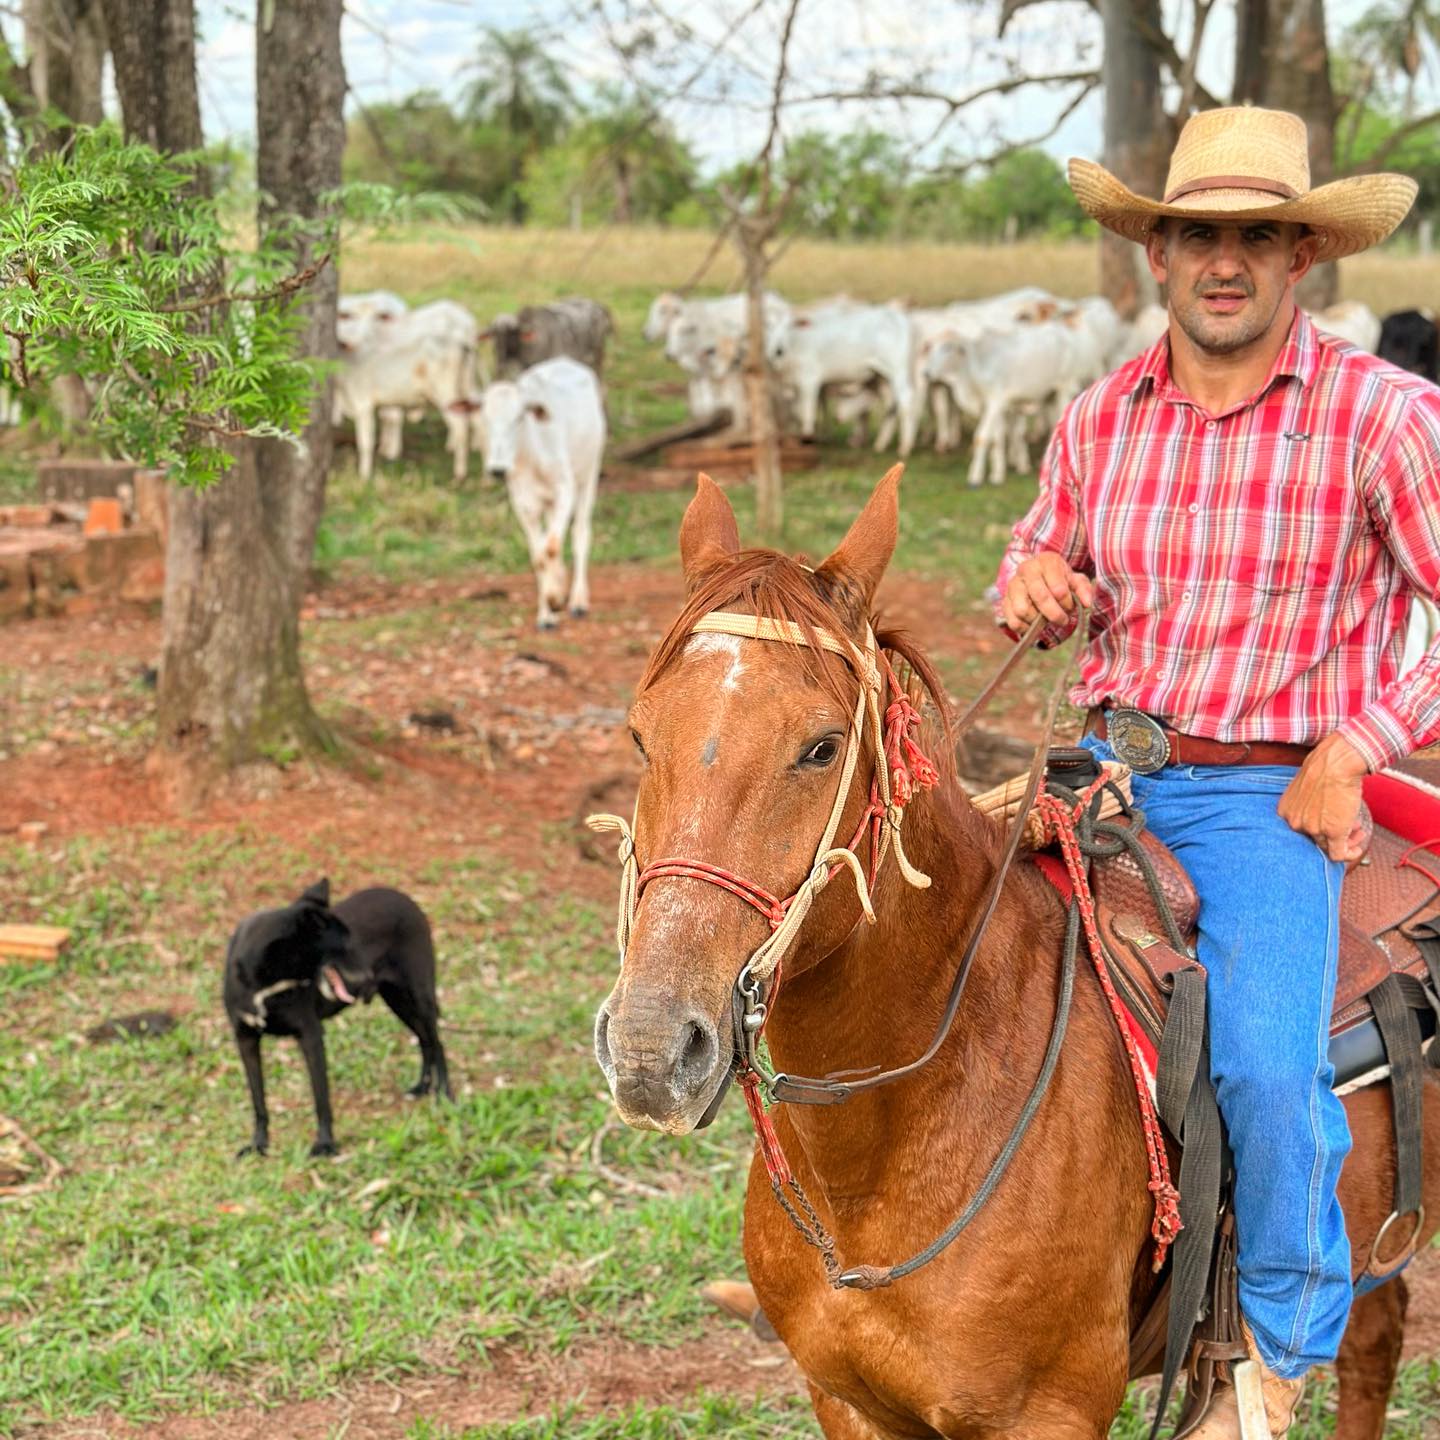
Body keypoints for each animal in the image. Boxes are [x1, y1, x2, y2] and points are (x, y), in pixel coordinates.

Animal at [221, 875, 449, 1157]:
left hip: (419, 996)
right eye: (344, 945)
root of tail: (404, 898)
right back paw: (422, 1087)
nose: (368, 978)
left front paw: (325, 1144)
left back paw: (446, 1096)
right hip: (397, 1001)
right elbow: (258, 1099)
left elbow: (321, 1097)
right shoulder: (246, 1040)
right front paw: (259, 1144)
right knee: (425, 1040)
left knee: (437, 1042)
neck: (264, 979)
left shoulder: (311, 1036)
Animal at [472, 357, 607, 627]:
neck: (530, 457)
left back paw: (577, 600)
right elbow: (539, 556)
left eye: (518, 418)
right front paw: (547, 612)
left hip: (588, 474)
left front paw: (555, 599)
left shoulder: (565, 490)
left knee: (579, 534)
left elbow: (552, 547)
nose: (498, 469)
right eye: (484, 417)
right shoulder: (522, 502)